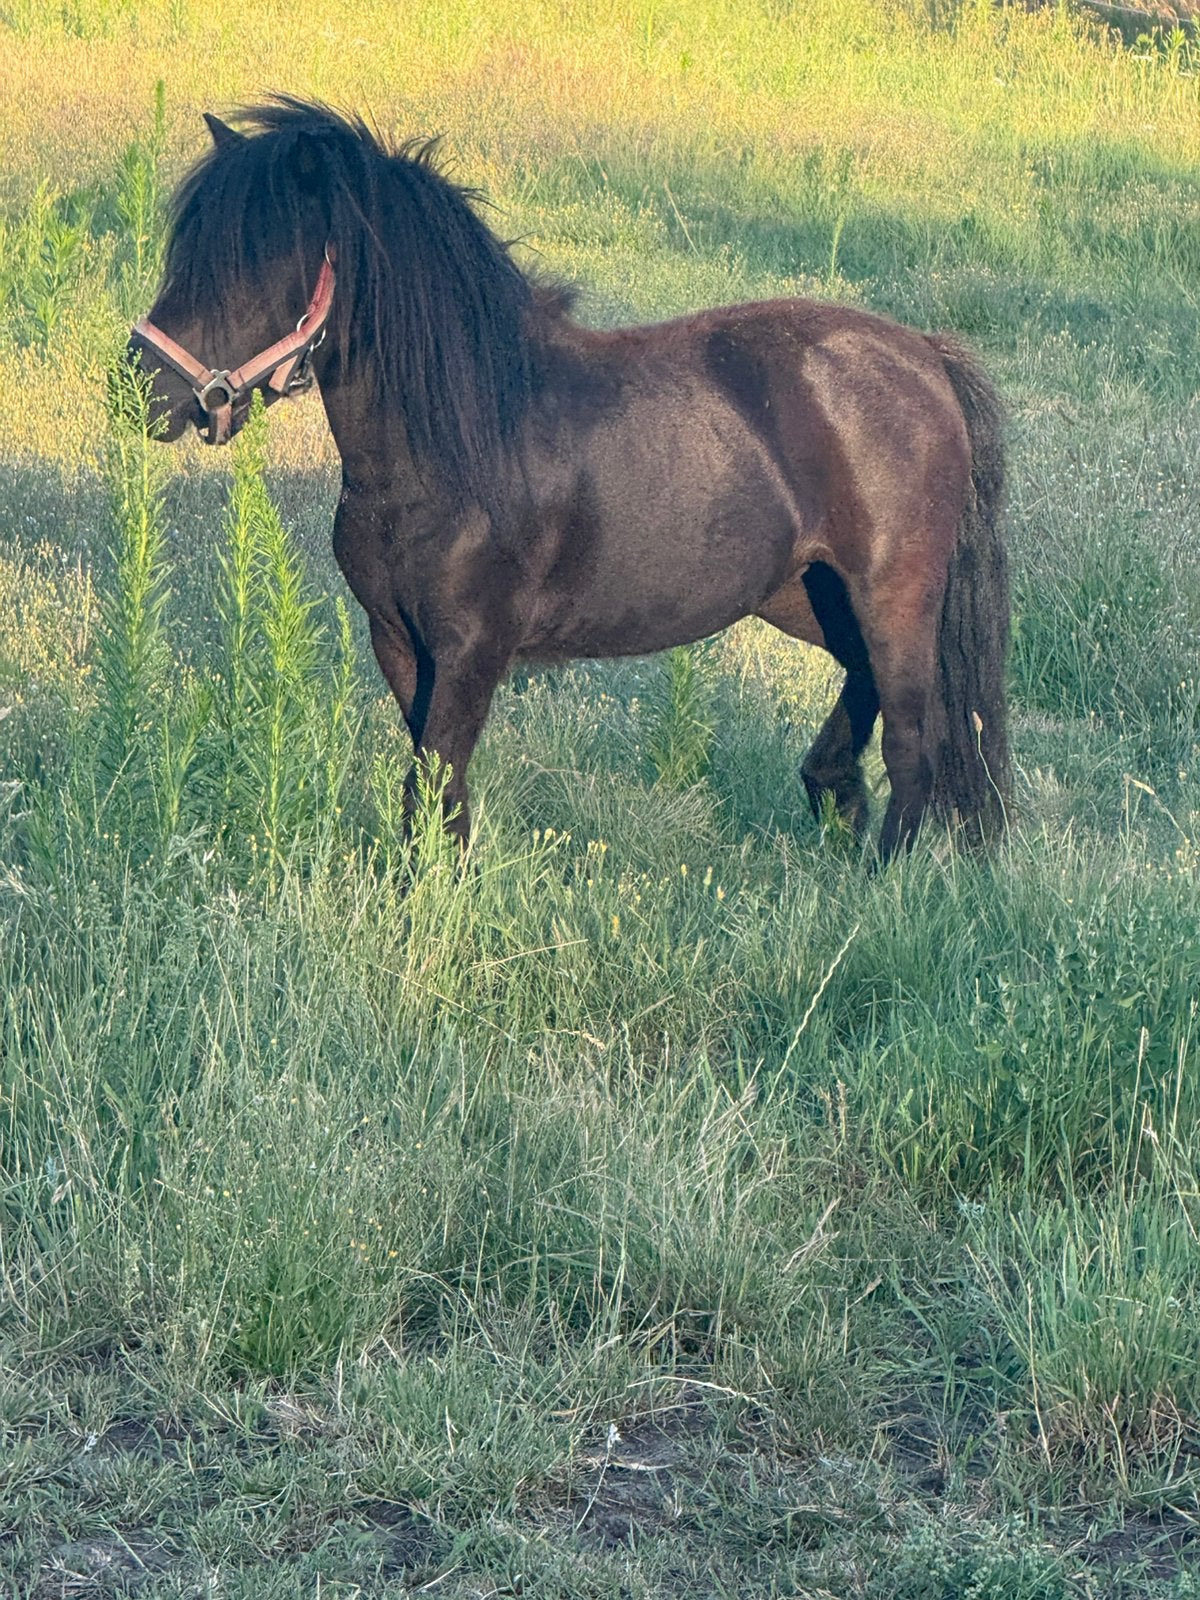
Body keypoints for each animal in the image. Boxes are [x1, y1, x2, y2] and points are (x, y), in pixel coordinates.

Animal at [129, 98, 1011, 861]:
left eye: (255, 264)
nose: (142, 389)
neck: (458, 444)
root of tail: (925, 357)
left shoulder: (472, 649)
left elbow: (437, 783)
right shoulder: (400, 643)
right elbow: (432, 786)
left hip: (893, 592)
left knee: (914, 741)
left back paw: (879, 882)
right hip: (809, 594)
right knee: (868, 687)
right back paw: (830, 792)